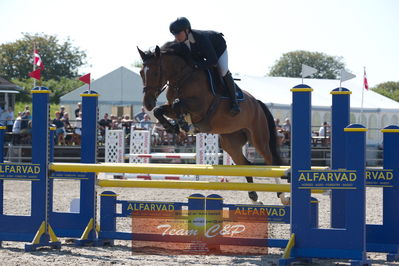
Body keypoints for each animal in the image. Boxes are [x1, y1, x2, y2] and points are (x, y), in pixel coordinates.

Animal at [138, 43, 288, 204]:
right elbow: (160, 110)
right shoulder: (171, 107)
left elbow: (179, 104)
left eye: (155, 73)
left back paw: (283, 196)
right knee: (245, 163)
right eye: (141, 73)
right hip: (230, 141)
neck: (182, 78)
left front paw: (184, 125)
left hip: (258, 138)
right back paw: (254, 199)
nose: (147, 104)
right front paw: (172, 126)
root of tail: (257, 103)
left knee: (270, 161)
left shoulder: (200, 107)